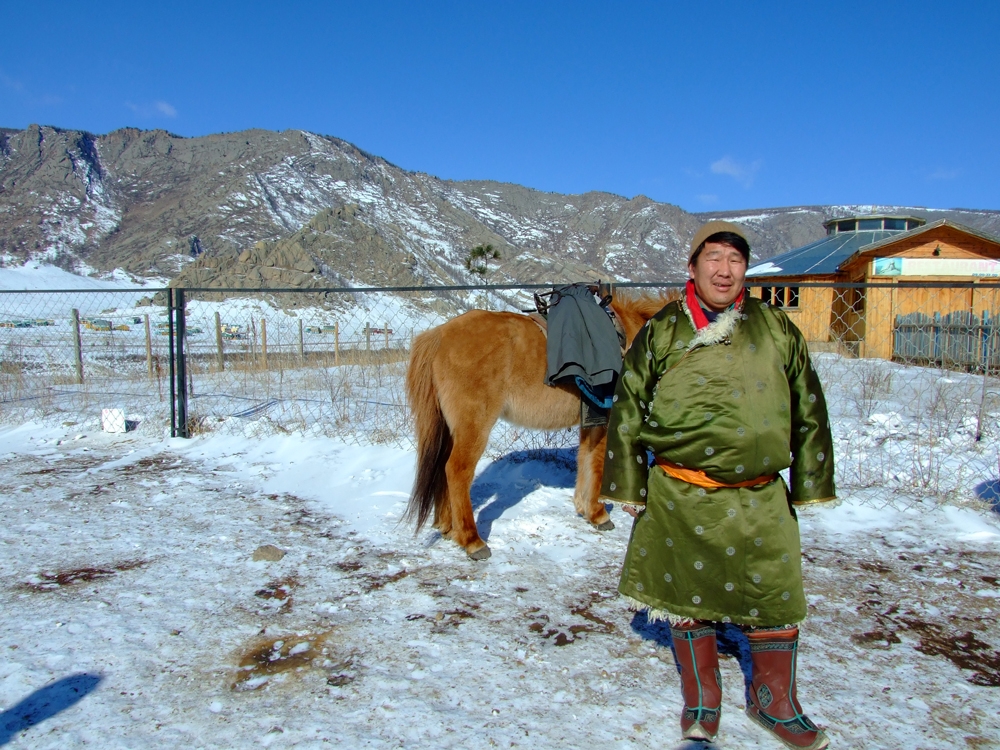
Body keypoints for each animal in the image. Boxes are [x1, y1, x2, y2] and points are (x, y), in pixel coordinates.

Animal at [404, 292, 672, 560]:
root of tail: (440, 334)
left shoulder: (590, 422)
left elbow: (585, 459)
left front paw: (585, 508)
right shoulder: (604, 421)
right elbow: (596, 465)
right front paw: (598, 514)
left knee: (442, 468)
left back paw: (449, 527)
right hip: (473, 426)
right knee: (456, 471)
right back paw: (472, 540)